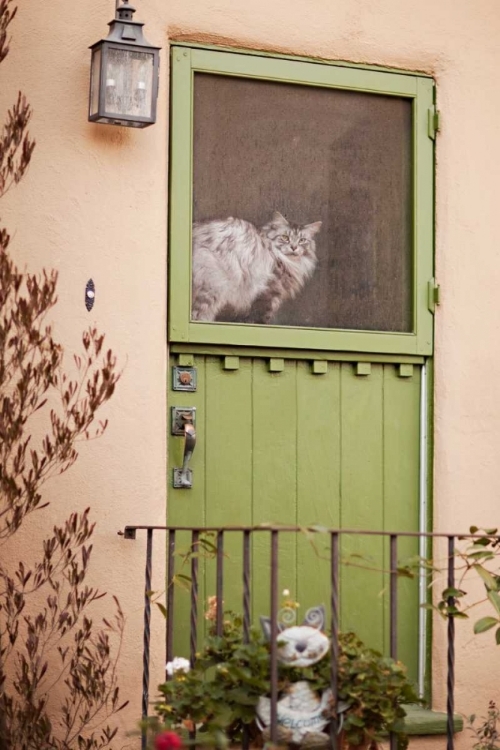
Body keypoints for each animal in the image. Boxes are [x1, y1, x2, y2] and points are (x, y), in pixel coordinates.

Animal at [189, 214, 322, 326]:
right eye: (285, 238)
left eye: (302, 240)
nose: (294, 247)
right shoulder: (267, 295)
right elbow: (259, 320)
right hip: (212, 289)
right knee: (197, 315)